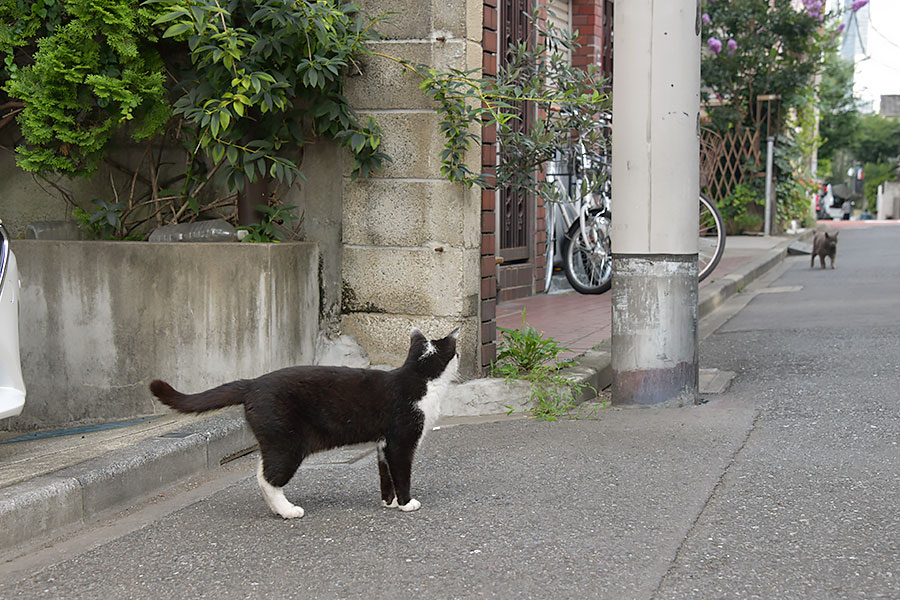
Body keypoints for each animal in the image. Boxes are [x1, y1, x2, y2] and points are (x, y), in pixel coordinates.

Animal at [149, 326, 460, 516]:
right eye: (455, 352)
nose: (459, 353)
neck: (420, 377)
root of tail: (252, 383)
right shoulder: (400, 441)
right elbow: (402, 474)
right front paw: (407, 504)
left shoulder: (383, 444)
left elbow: (386, 475)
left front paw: (390, 502)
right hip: (288, 443)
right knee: (269, 478)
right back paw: (288, 511)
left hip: (275, 440)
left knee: (261, 472)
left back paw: (277, 509)